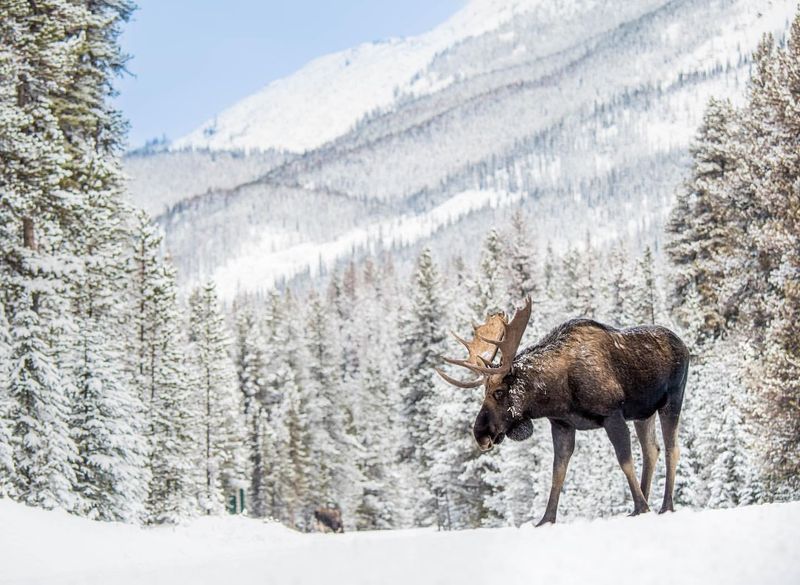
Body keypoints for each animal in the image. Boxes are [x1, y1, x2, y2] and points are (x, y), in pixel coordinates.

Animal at [434, 296, 692, 524]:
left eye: (498, 392)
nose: (480, 434)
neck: (558, 393)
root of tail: (686, 346)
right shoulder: (561, 424)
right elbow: (557, 473)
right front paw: (545, 519)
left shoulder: (612, 414)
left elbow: (624, 460)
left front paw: (640, 508)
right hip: (642, 413)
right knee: (651, 450)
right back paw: (648, 499)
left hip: (672, 400)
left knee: (671, 449)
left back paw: (665, 505)